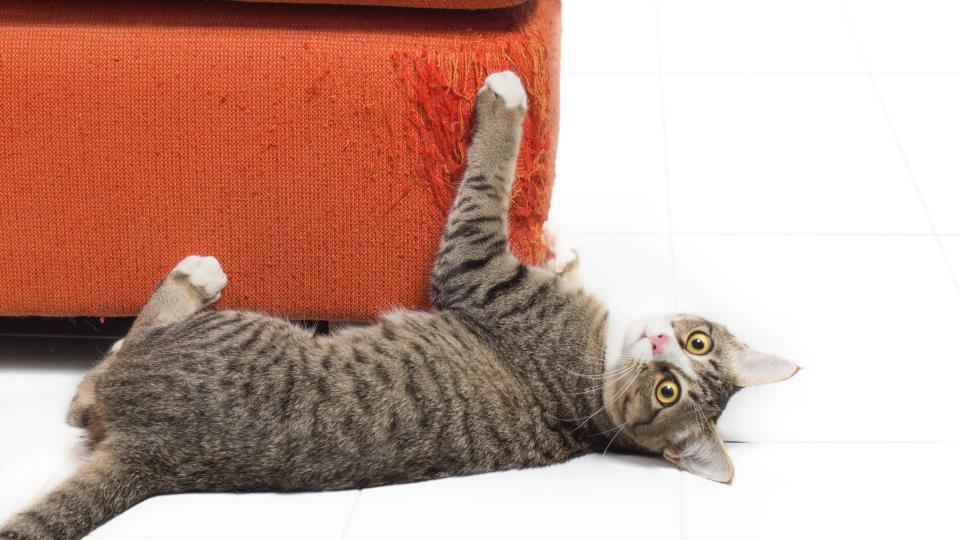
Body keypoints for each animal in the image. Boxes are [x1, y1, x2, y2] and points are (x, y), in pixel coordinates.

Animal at [0, 71, 796, 540]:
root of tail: (156, 456)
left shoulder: (475, 269)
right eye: (696, 348)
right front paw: (561, 246)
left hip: (232, 331)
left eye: (669, 391)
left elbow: (489, 179)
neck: (593, 382)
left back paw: (189, 282)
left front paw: (506, 104)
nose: (661, 347)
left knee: (101, 375)